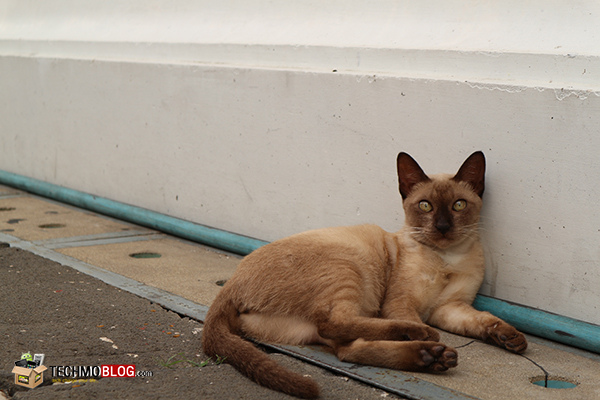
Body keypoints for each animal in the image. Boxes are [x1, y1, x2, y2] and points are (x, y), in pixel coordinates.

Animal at [202, 151, 527, 399]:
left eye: (459, 205)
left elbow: (484, 321)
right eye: (426, 206)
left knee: (346, 349)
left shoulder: (449, 308)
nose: (443, 227)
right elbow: (415, 316)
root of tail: (230, 285)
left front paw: (511, 339)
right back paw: (426, 342)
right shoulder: (402, 303)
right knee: (336, 324)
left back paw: (432, 357)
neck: (447, 257)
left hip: (322, 317)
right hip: (350, 268)